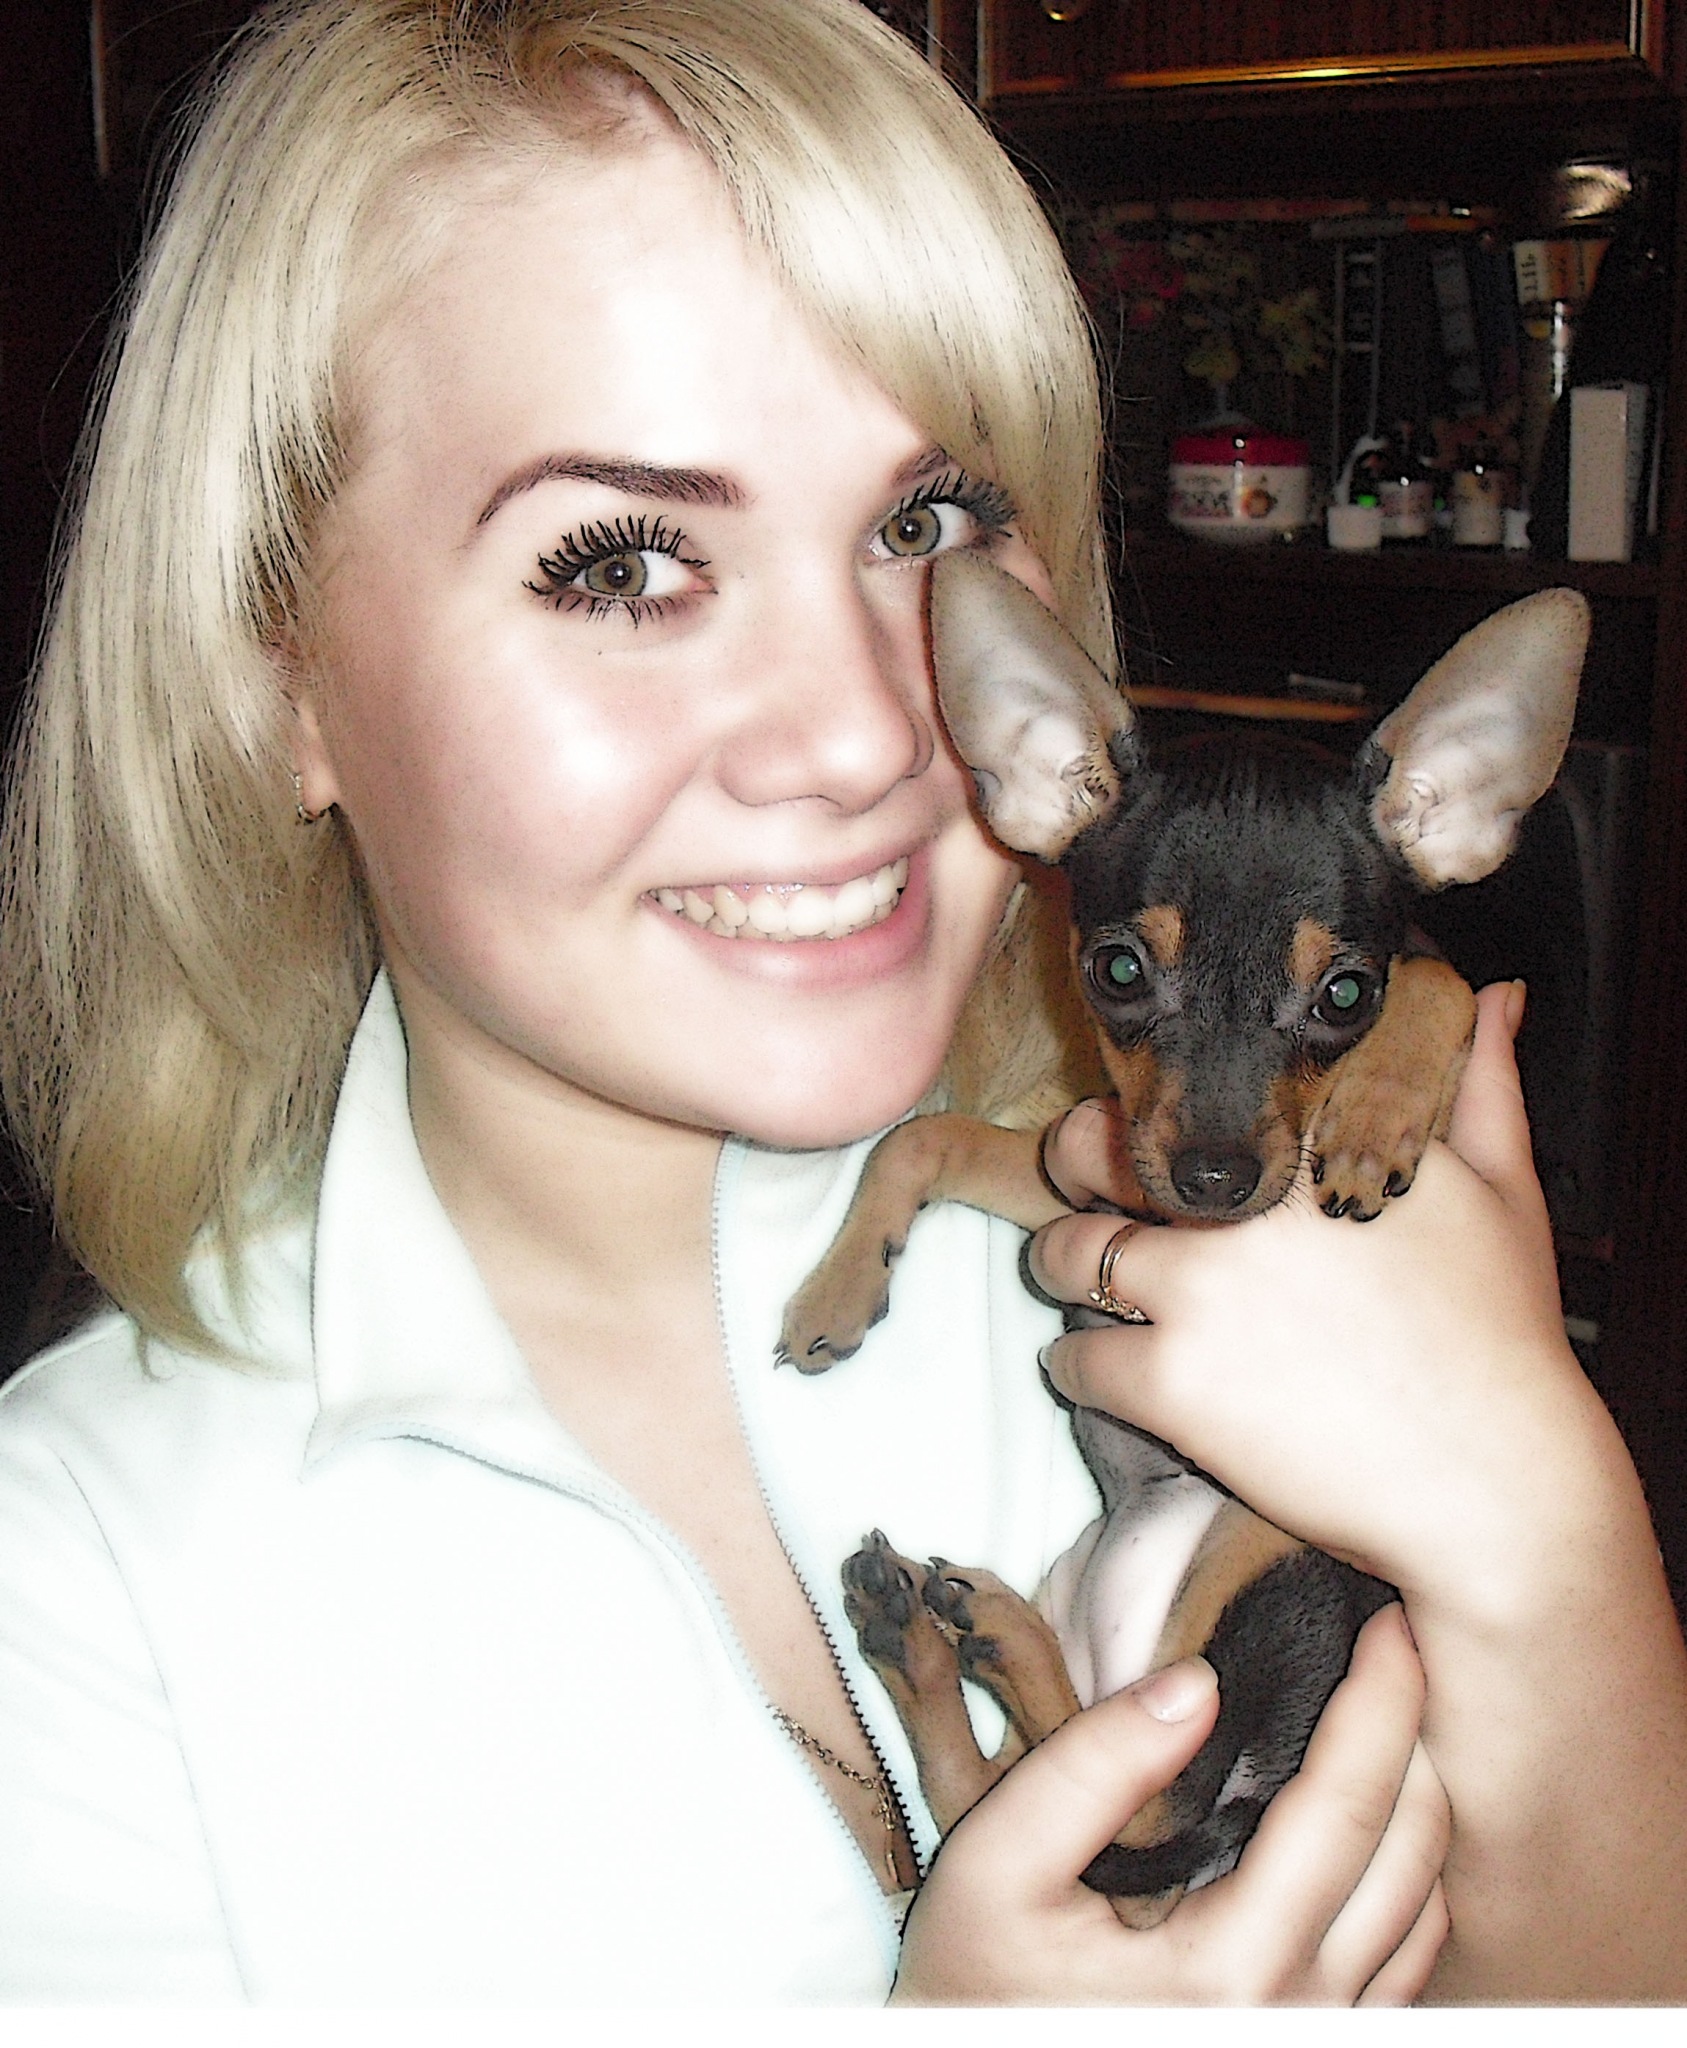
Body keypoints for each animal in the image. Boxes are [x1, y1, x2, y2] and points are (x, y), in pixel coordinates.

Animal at [780, 549, 1589, 1924]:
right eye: (1114, 970)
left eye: (1343, 994)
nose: (1216, 1178)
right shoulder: (1089, 1178)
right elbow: (917, 1140)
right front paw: (837, 1289)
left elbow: (1444, 978)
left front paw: (1374, 1113)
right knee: (1031, 1813)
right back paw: (925, 1636)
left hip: (1271, 1564)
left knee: (1132, 1808)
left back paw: (984, 1632)